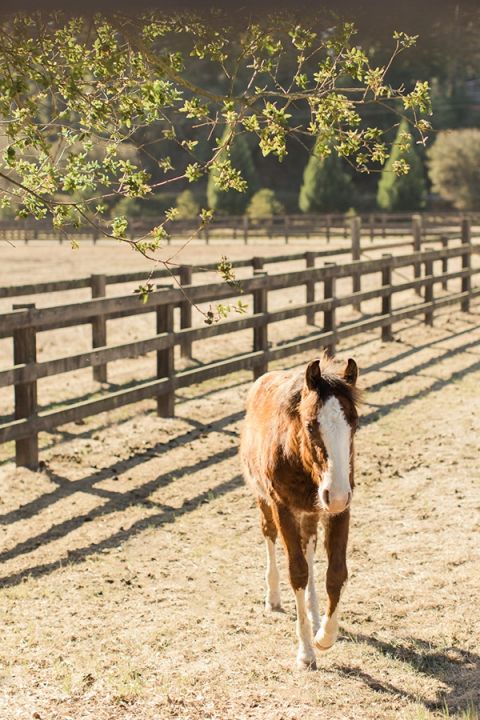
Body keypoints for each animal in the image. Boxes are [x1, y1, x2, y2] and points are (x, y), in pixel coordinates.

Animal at [240, 354, 360, 668]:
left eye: (354, 423)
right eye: (310, 425)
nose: (336, 493)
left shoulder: (339, 510)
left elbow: (336, 573)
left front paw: (324, 636)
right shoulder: (283, 508)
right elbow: (297, 572)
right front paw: (306, 652)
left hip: (313, 512)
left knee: (309, 548)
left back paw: (315, 614)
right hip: (264, 501)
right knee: (270, 537)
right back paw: (273, 598)